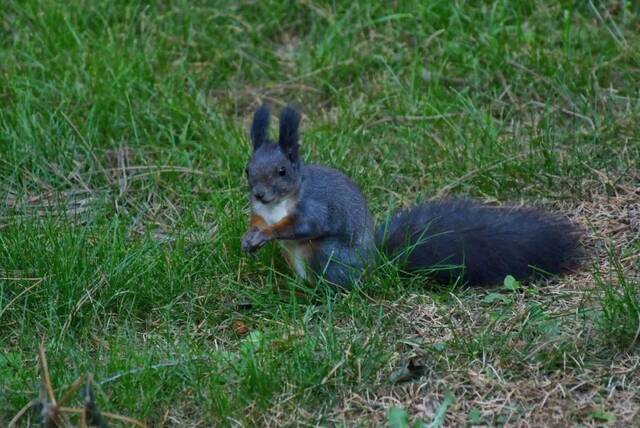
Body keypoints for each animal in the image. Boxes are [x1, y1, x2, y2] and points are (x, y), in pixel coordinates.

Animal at [240, 105, 580, 290]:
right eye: (247, 169)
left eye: (283, 171)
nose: (259, 193)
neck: (277, 205)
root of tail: (378, 264)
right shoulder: (259, 209)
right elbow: (256, 220)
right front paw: (249, 237)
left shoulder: (314, 207)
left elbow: (304, 226)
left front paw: (268, 234)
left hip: (327, 256)